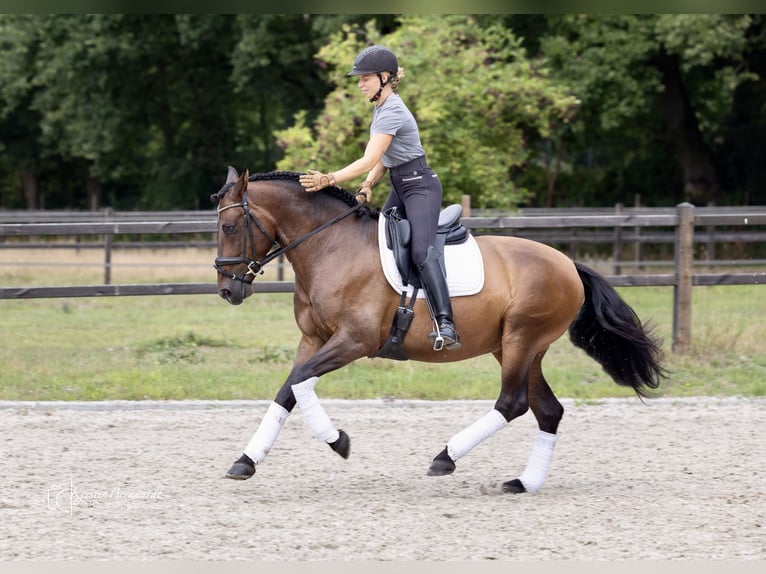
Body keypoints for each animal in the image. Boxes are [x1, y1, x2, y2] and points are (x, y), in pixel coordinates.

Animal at [211, 167, 665, 493]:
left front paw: (338, 440)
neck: (330, 246)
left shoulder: (353, 341)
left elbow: (301, 381)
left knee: (512, 403)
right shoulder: (313, 339)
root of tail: (568, 264)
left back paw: (445, 457)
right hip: (517, 347)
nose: (227, 290)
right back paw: (524, 482)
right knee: (548, 410)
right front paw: (246, 461)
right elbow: (289, 388)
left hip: (522, 339)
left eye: (230, 228)